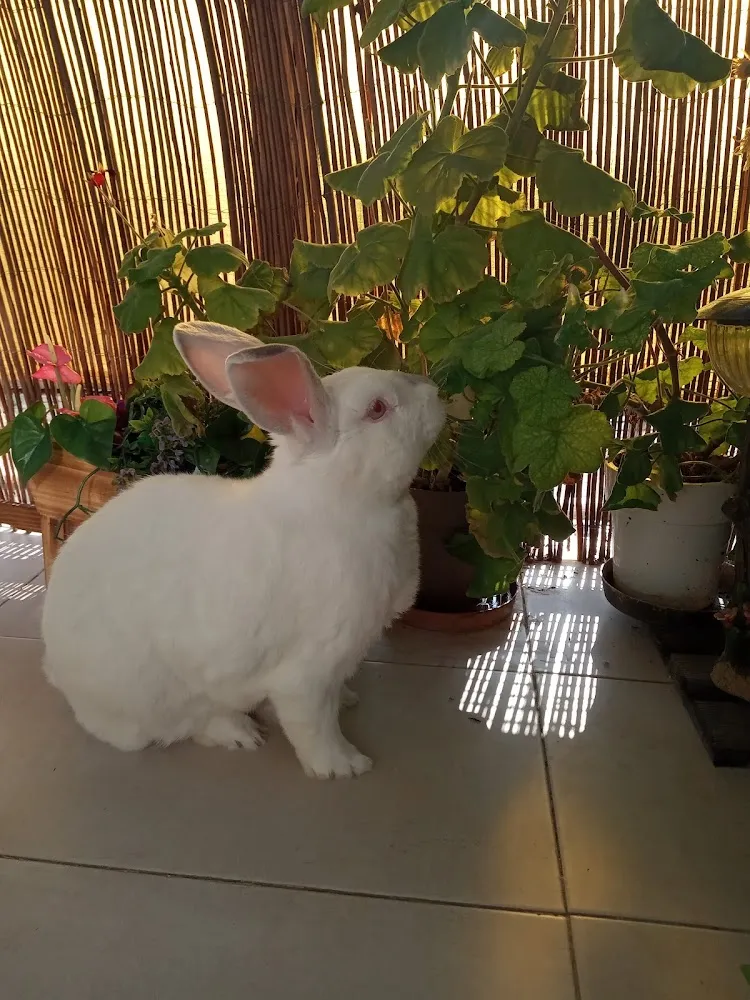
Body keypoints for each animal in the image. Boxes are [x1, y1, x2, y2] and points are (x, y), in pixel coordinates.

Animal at [41, 320, 446, 778]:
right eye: (377, 408)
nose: (434, 392)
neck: (341, 498)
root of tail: (61, 675)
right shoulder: (308, 669)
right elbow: (313, 724)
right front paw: (344, 766)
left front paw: (348, 701)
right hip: (162, 693)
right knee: (188, 724)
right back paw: (240, 733)